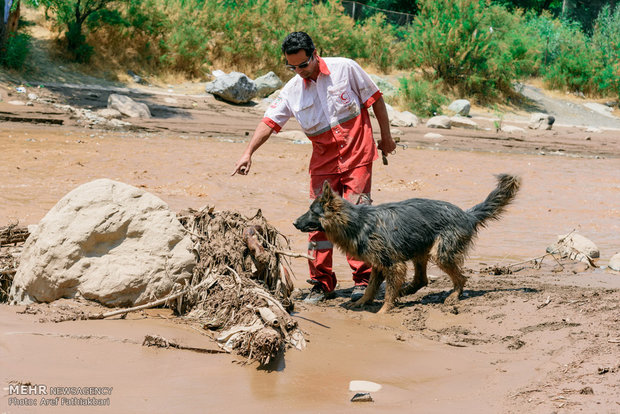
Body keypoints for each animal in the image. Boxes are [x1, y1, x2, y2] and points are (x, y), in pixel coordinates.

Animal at [294, 173, 520, 312]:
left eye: (312, 211)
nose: (294, 223)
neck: (357, 221)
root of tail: (467, 215)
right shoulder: (379, 264)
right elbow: (370, 287)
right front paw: (362, 302)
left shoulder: (394, 264)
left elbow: (386, 293)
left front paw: (383, 312)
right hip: (420, 250)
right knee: (421, 280)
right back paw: (406, 291)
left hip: (441, 254)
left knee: (461, 278)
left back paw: (454, 295)